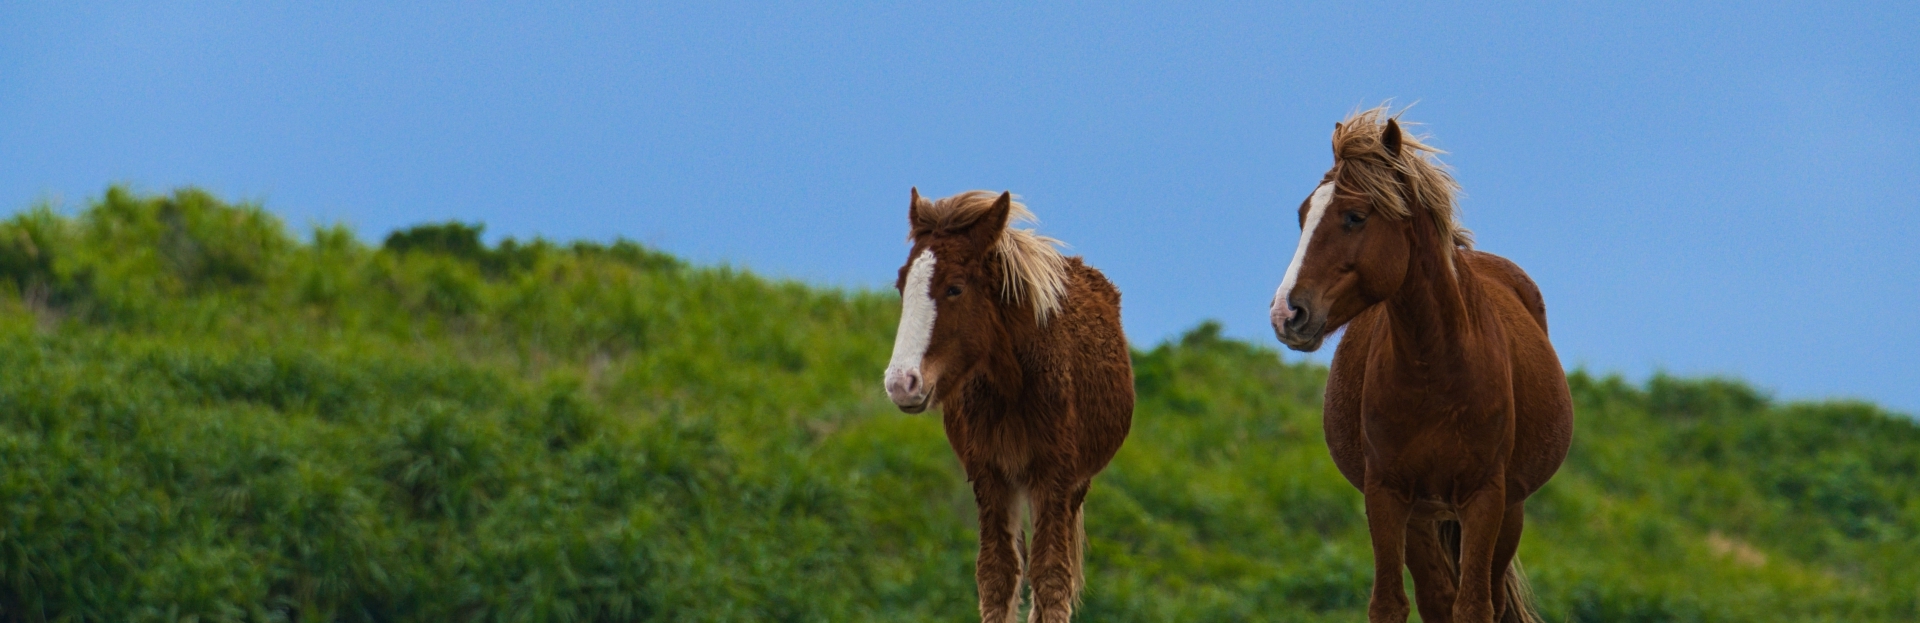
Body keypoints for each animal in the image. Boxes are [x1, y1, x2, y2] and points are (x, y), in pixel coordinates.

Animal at [883, 189, 1134, 623]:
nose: (901, 383)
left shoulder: (1055, 475)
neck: (1014, 383)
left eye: (955, 288)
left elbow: (1050, 577)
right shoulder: (989, 474)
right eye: (902, 285)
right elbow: (997, 574)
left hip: (1069, 487)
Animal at [1269, 108, 1574, 623]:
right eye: (1303, 215)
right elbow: (1391, 603)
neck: (1437, 371)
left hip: (1508, 512)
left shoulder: (1485, 498)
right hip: (1424, 517)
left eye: (1355, 216)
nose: (1286, 313)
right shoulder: (1387, 495)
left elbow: (1473, 606)